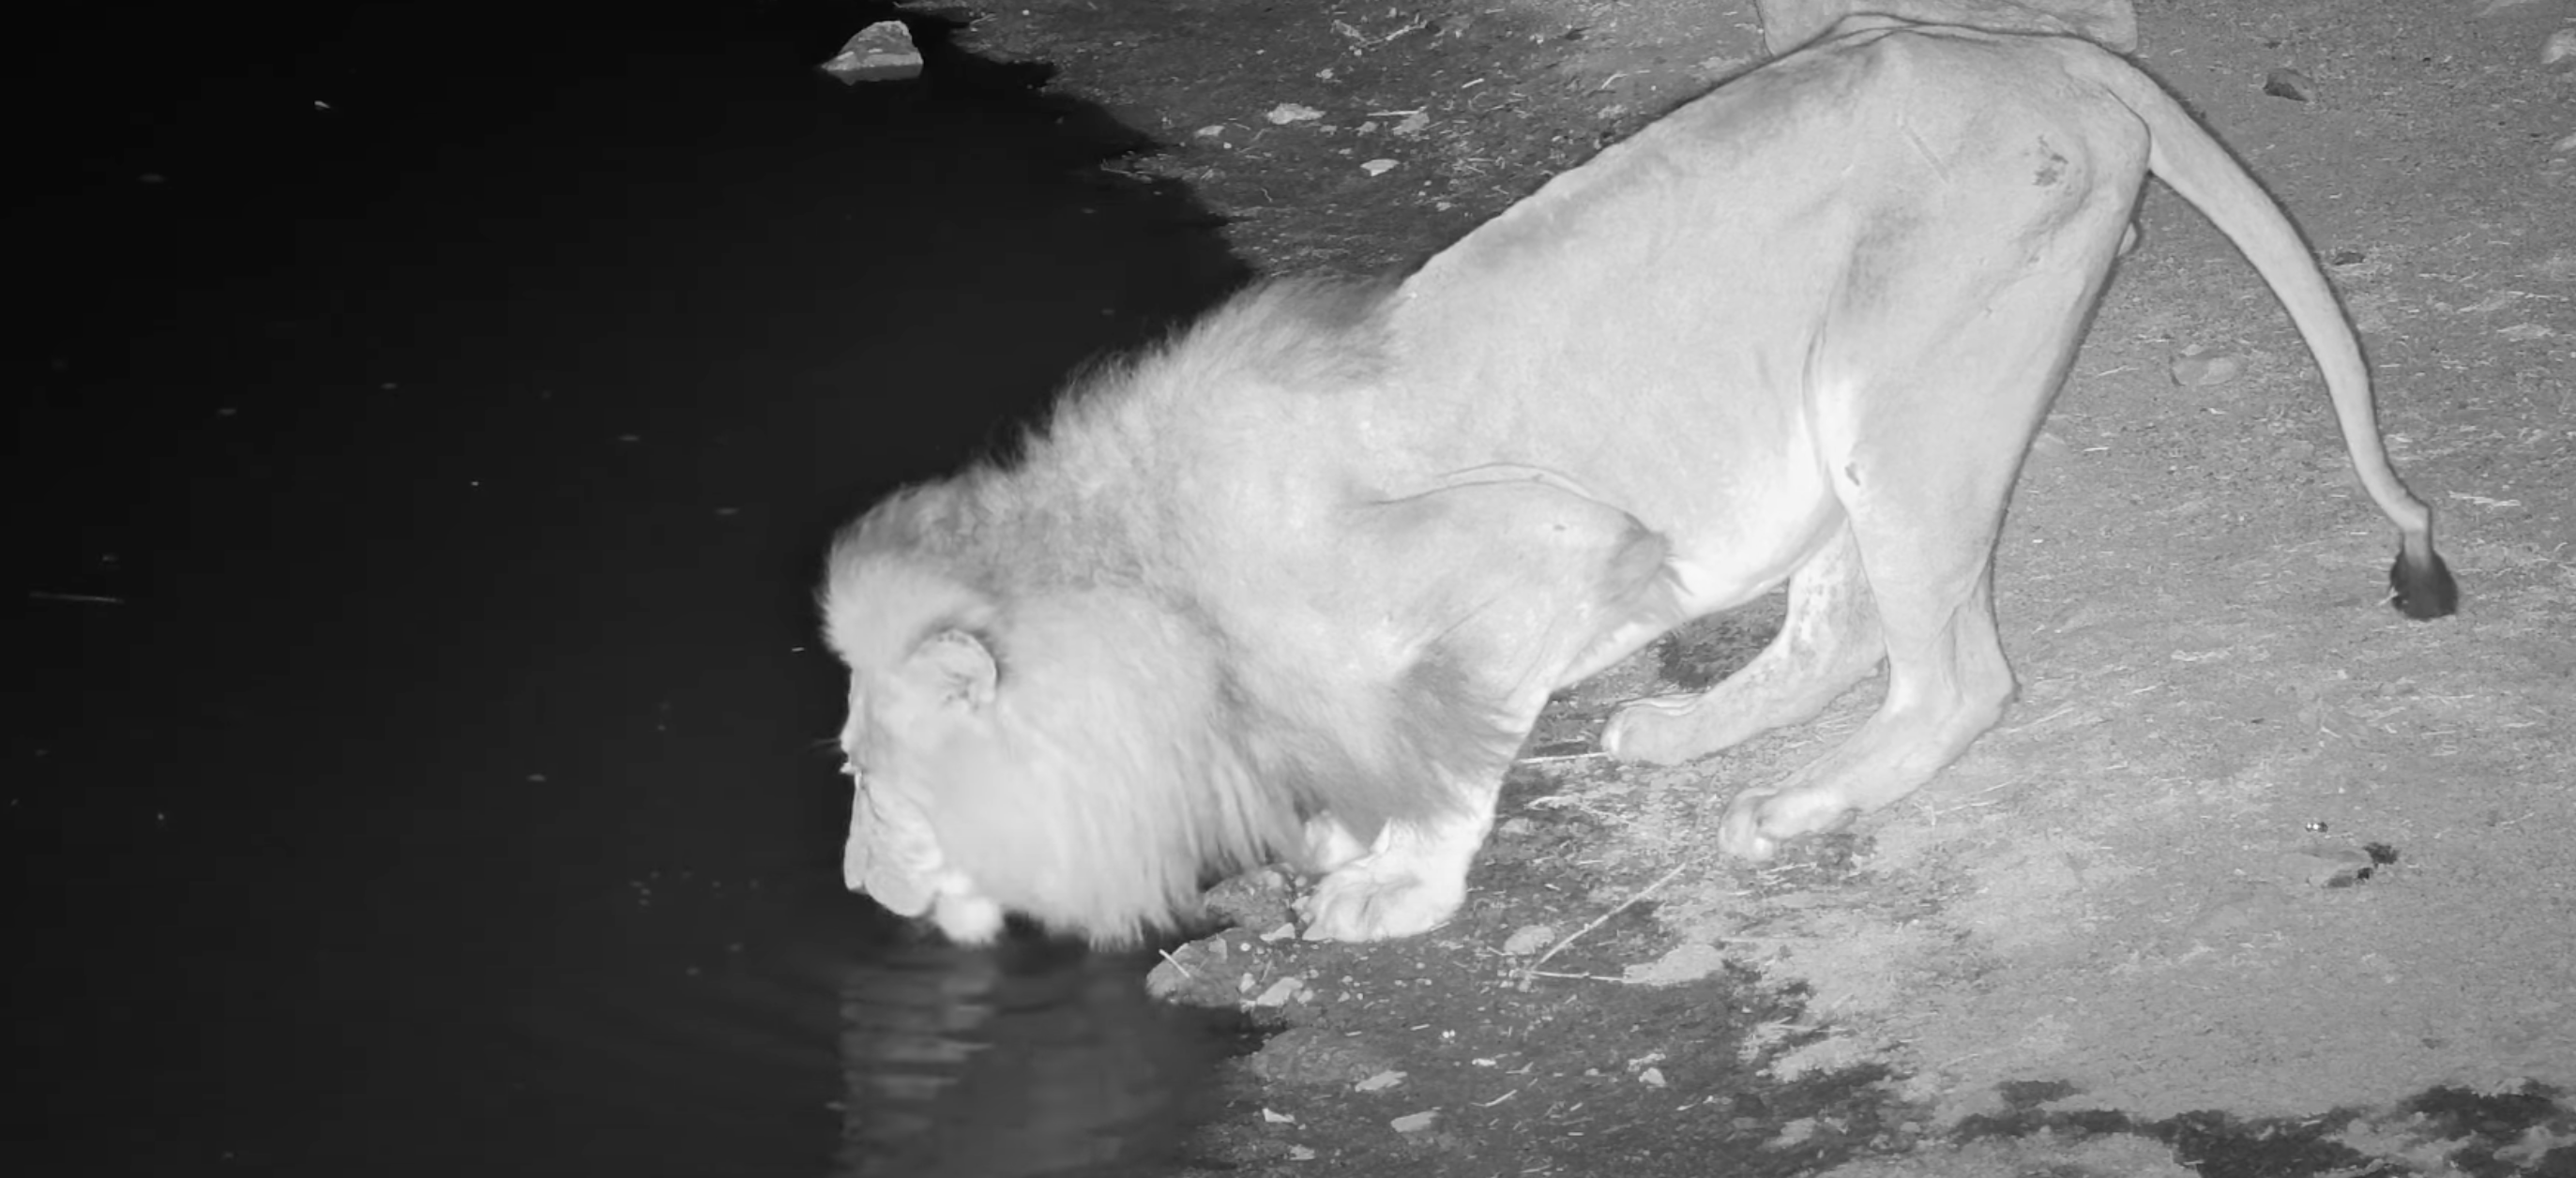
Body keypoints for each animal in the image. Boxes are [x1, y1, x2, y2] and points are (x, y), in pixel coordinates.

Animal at [820, 17, 2456, 948]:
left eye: (863, 778)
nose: (855, 892)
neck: (1150, 601)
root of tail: (2037, 48)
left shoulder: (1539, 542)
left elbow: (1457, 750)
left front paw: (1396, 887)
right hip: (1843, 420)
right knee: (1843, 631)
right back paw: (1682, 735)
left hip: (1906, 400)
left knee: (1960, 676)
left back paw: (1791, 808)